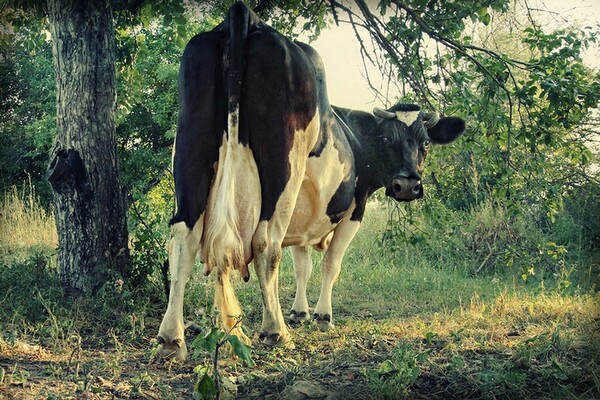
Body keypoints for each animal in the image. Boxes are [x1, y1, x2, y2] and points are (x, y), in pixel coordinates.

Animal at [157, 0, 466, 362]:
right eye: (386, 139)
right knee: (265, 243)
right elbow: (330, 263)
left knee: (185, 237)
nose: (407, 186)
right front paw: (321, 316)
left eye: (426, 143)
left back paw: (177, 337)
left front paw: (299, 312)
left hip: (191, 148)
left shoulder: (302, 220)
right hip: (282, 170)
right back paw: (275, 331)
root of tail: (245, 15)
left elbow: (301, 263)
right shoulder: (355, 208)